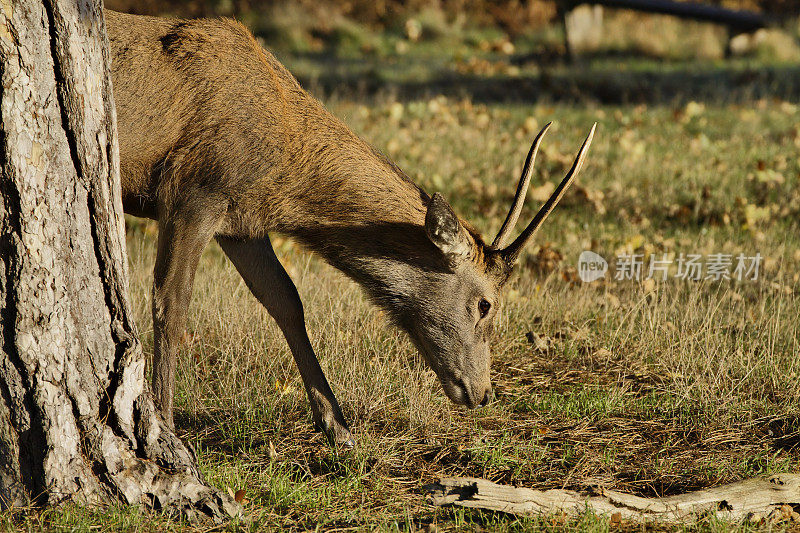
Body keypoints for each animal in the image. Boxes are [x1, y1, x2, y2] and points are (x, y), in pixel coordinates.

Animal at [104, 10, 592, 446]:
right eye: (485, 304)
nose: (484, 392)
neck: (282, 173)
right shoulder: (193, 192)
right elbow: (171, 302)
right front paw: (167, 431)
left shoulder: (240, 221)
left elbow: (286, 299)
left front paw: (338, 428)